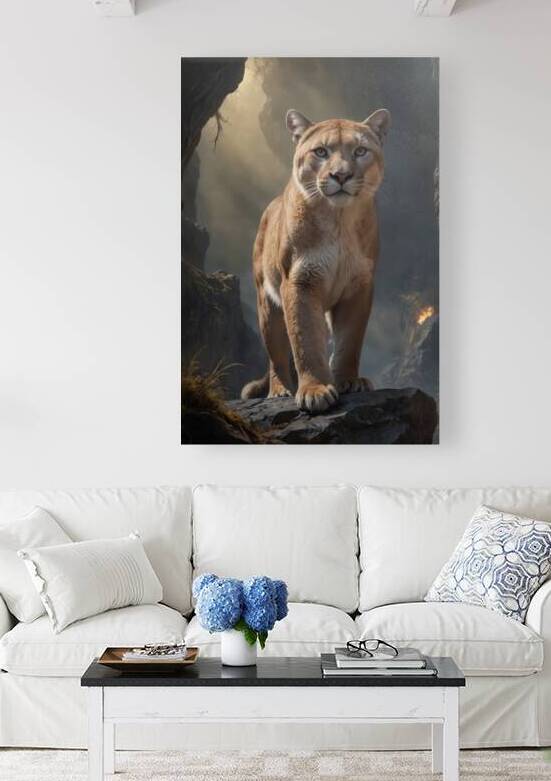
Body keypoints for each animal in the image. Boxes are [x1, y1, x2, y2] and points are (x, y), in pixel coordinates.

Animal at [241, 107, 391, 413]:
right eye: (321, 152)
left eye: (360, 151)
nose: (341, 175)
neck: (339, 221)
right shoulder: (300, 282)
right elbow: (305, 339)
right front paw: (315, 391)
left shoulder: (359, 286)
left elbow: (350, 340)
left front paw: (348, 381)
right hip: (267, 305)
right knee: (276, 354)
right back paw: (279, 391)